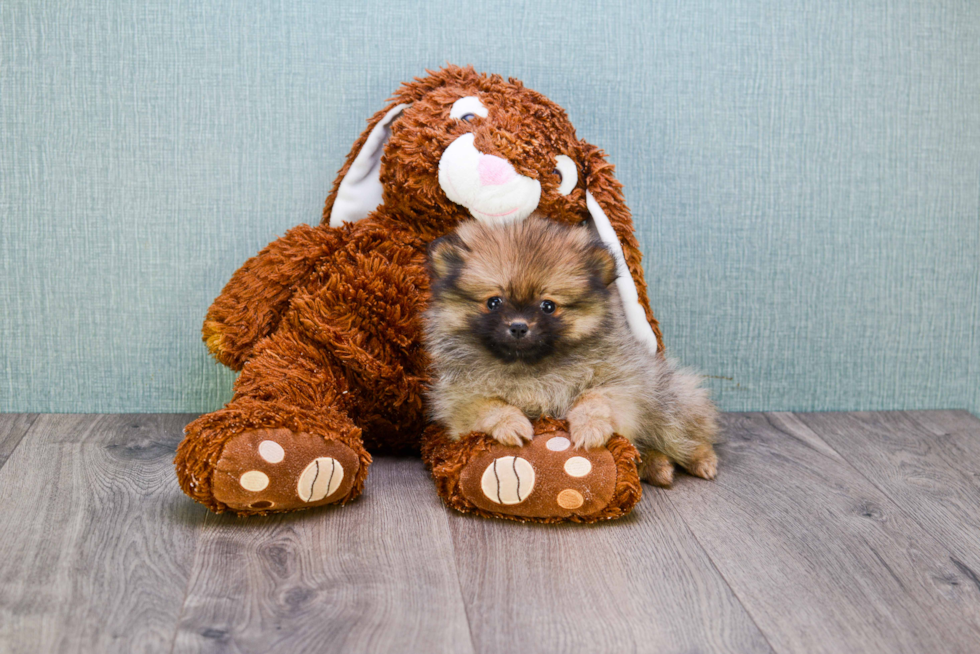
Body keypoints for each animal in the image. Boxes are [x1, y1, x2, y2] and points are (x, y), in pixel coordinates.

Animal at [424, 217, 720, 486]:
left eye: (548, 306)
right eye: (494, 302)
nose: (518, 326)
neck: (529, 366)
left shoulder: (619, 383)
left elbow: (594, 401)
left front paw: (589, 428)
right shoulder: (460, 399)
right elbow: (491, 407)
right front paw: (511, 424)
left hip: (667, 406)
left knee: (686, 437)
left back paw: (701, 461)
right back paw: (657, 466)